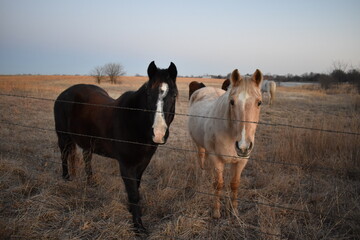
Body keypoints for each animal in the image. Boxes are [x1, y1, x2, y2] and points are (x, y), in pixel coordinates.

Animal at [53, 61, 177, 232]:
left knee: (87, 158)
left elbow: (136, 186)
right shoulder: (126, 165)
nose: (158, 133)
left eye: (174, 96)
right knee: (64, 155)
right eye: (148, 95)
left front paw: (131, 210)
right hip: (63, 137)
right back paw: (66, 178)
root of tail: (63, 94)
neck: (134, 121)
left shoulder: (142, 163)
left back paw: (91, 182)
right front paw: (138, 227)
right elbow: (133, 193)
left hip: (88, 142)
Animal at [188, 68, 262, 218]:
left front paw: (234, 210)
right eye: (232, 102)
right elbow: (218, 184)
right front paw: (216, 211)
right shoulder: (217, 159)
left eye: (259, 102)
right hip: (198, 144)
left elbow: (234, 184)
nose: (243, 146)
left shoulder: (242, 161)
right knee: (201, 157)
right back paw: (202, 174)